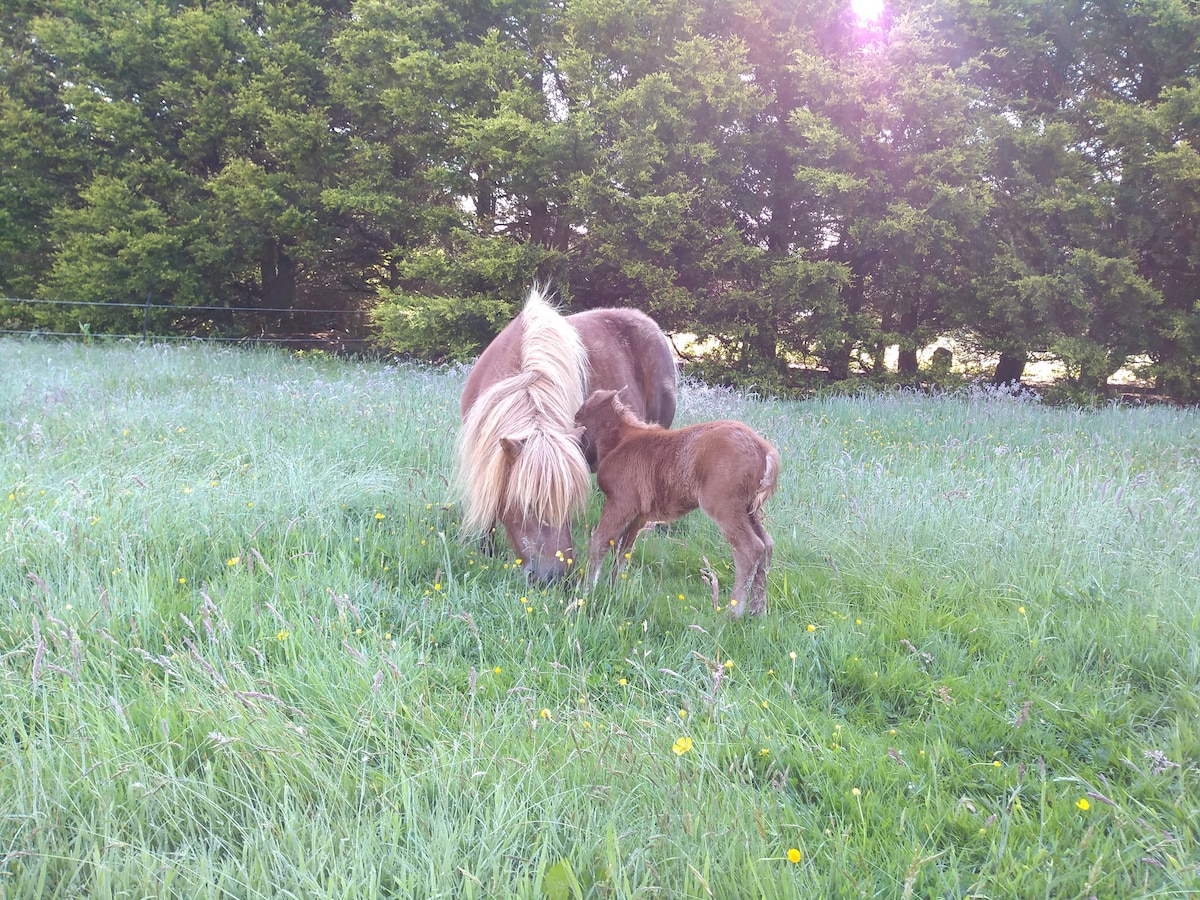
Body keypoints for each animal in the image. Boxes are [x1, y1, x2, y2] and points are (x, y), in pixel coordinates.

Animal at [576, 391, 782, 619]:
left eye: (578, 416)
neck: (619, 442)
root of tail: (764, 451)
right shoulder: (639, 514)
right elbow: (623, 551)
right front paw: (614, 589)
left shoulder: (621, 502)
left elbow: (599, 542)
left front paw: (585, 591)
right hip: (749, 508)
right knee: (767, 544)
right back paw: (758, 611)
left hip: (724, 505)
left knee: (750, 548)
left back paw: (733, 612)